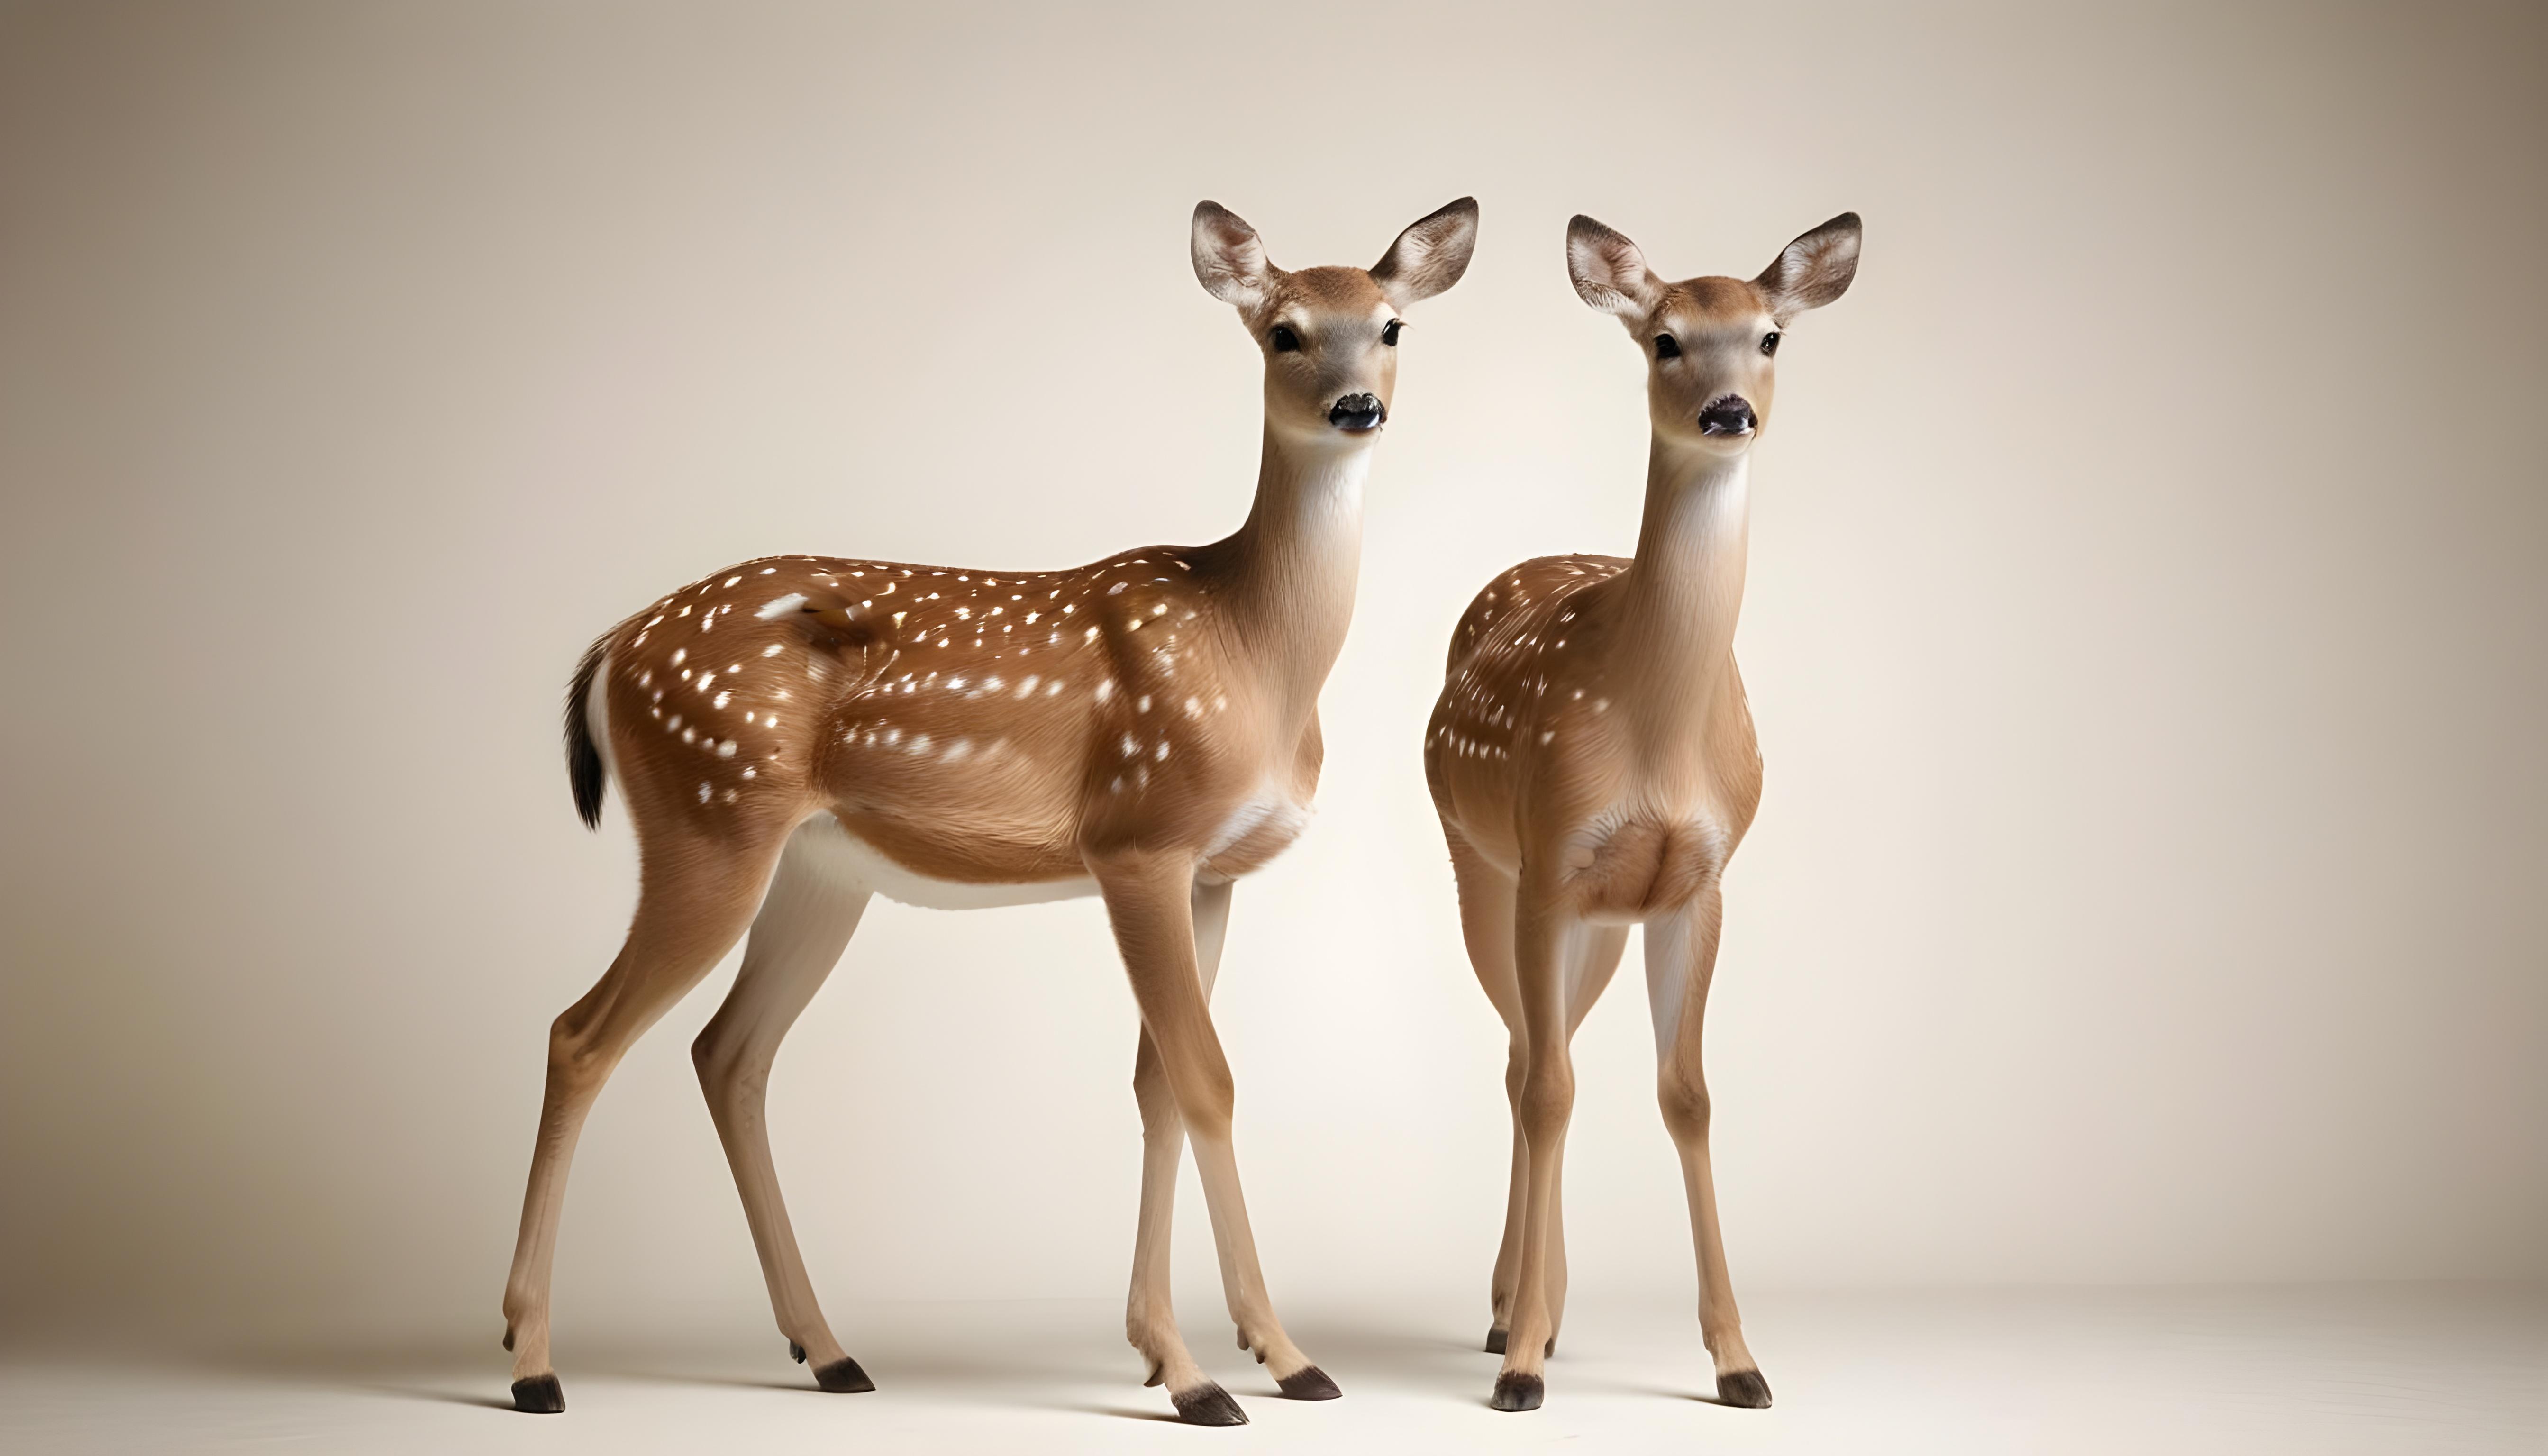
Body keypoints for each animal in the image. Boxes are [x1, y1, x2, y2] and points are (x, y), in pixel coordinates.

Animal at [498, 197, 1478, 1424]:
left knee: (728, 1052)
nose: (1358, 406)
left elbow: (1161, 1083)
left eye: (1392, 326)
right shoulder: (1138, 836)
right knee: (579, 1034)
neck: (1253, 650)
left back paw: (828, 1348)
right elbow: (1207, 1078)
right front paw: (1235, 1368)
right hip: (707, 813)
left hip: (815, 866)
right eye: (1284, 332)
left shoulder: (1211, 873)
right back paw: (532, 1361)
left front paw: (1201, 1352)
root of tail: (613, 646)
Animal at [1423, 211, 1860, 1413]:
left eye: (1769, 336)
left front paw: (1741, 1361)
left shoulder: (1698, 884)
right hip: (1480, 864)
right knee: (1529, 1063)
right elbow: (1552, 1091)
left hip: (1602, 922)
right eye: (1665, 340)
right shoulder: (1549, 861)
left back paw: (1537, 1302)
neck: (1658, 741)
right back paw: (1510, 1314)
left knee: (1548, 1048)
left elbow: (1688, 1094)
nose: (1729, 411)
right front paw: (1523, 1364)